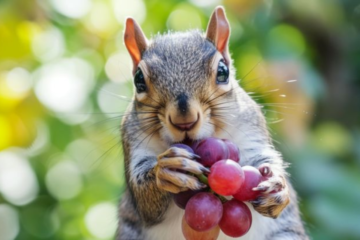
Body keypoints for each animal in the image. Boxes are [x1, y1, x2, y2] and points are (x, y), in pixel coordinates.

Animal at [116, 5, 308, 240]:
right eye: (138, 80)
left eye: (223, 71)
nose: (184, 120)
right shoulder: (133, 141)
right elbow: (144, 200)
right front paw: (167, 170)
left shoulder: (251, 130)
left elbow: (265, 158)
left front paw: (277, 187)